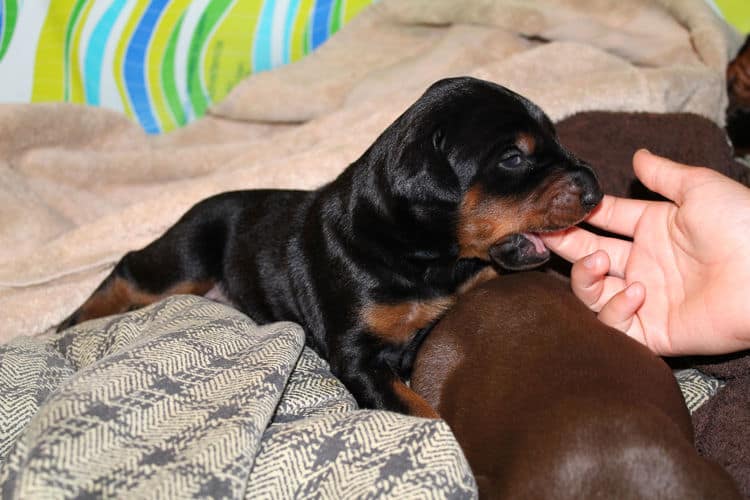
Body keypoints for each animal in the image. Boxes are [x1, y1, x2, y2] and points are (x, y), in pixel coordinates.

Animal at [57, 76, 604, 416]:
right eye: (513, 158)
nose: (594, 188)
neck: (424, 256)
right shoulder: (358, 356)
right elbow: (420, 411)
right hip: (188, 253)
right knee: (129, 269)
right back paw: (70, 325)